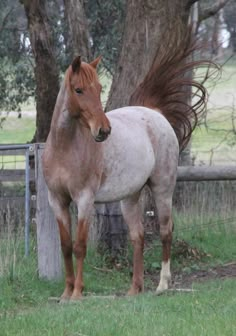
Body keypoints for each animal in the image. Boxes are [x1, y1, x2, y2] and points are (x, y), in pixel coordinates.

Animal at [42, 30, 208, 300]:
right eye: (78, 90)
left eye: (99, 88)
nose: (103, 130)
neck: (65, 148)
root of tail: (155, 112)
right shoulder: (57, 200)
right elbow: (65, 246)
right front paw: (65, 293)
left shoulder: (84, 200)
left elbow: (79, 246)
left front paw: (77, 293)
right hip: (130, 197)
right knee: (137, 237)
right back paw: (134, 289)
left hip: (162, 189)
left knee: (166, 231)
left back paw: (162, 285)